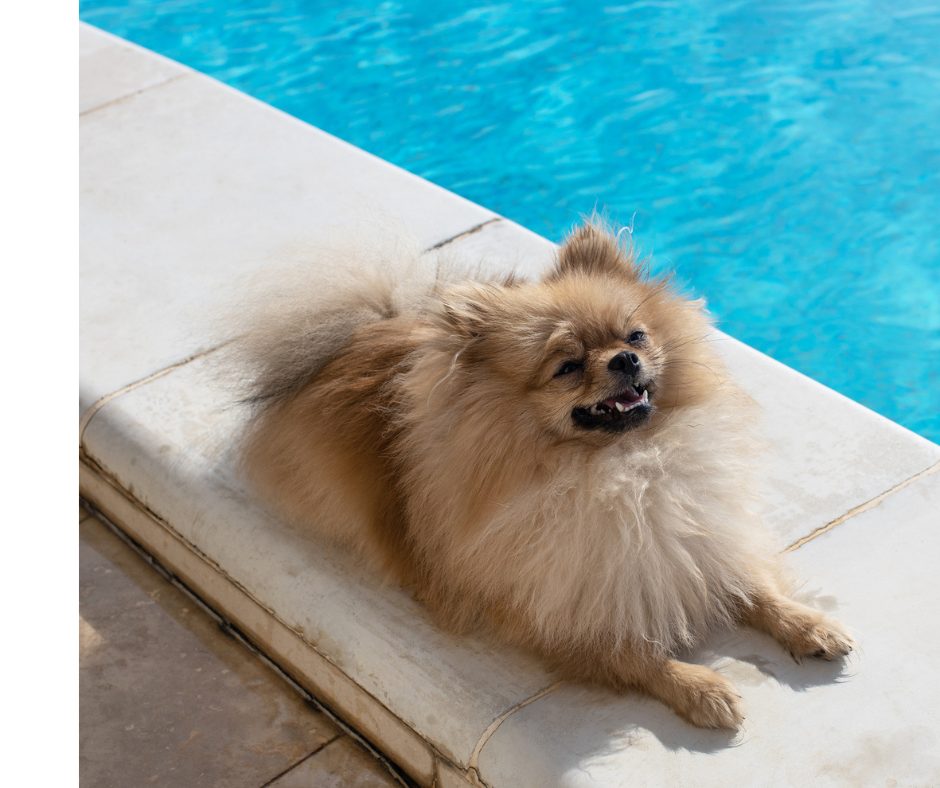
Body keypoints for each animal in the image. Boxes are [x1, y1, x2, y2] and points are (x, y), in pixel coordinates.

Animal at [241, 220, 852, 728]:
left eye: (636, 336)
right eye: (568, 366)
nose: (625, 360)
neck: (627, 464)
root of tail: (368, 332)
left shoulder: (695, 542)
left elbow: (753, 587)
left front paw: (808, 624)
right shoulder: (555, 611)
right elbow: (635, 655)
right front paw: (700, 688)